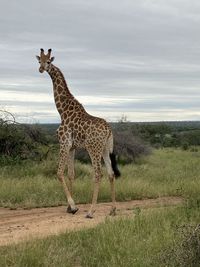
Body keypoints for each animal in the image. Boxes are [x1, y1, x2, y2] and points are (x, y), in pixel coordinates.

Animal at [36, 49, 120, 219]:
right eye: (38, 60)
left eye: (48, 61)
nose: (41, 69)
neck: (62, 111)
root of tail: (108, 130)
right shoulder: (72, 147)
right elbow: (71, 174)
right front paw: (69, 208)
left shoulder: (63, 143)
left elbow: (59, 173)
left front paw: (74, 207)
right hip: (105, 149)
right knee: (111, 173)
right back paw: (113, 210)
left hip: (93, 148)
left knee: (98, 174)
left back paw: (91, 211)